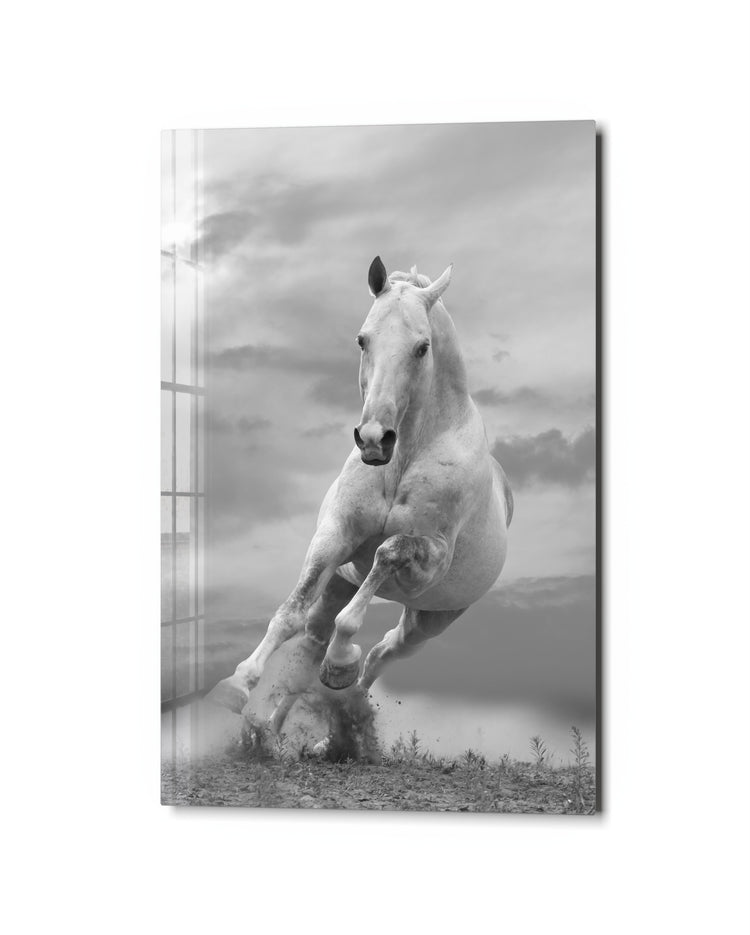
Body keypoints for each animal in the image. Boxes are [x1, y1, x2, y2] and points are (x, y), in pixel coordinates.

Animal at [207, 256, 513, 745]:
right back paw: (275, 732)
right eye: (362, 339)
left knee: (381, 655)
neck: (403, 458)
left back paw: (336, 716)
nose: (373, 439)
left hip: (428, 621)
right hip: (340, 583)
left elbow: (385, 558)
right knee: (311, 645)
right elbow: (289, 614)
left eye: (422, 347)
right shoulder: (335, 537)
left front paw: (340, 662)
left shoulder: (429, 559)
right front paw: (235, 686)